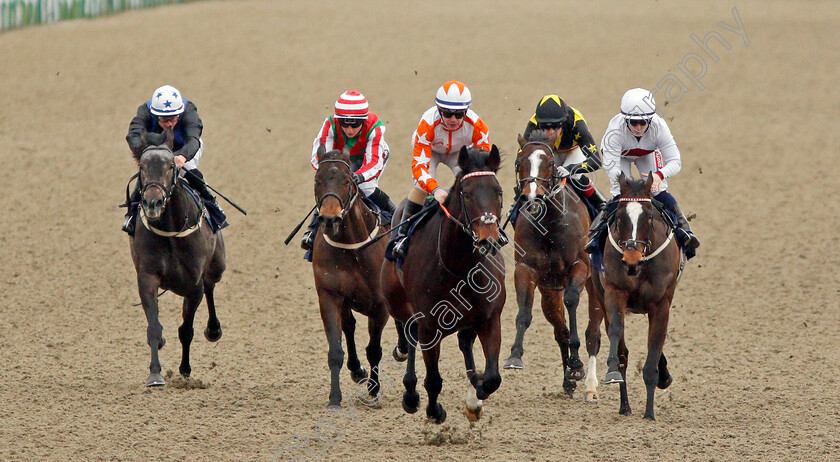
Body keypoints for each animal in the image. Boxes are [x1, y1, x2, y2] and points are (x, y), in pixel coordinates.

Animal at [129, 128, 226, 388]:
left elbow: (186, 330)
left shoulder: (193, 285)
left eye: (171, 165)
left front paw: (185, 369)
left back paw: (213, 330)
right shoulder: (147, 278)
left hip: (217, 265)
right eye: (142, 166)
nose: (152, 203)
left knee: (211, 285)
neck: (171, 229)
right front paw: (155, 374)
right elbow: (153, 327)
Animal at [312, 146, 410, 410]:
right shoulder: (330, 297)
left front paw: (373, 391)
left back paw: (402, 350)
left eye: (347, 181)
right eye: (317, 180)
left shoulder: (379, 305)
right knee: (350, 327)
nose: (329, 219)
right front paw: (335, 398)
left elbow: (374, 349)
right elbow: (336, 350)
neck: (351, 249)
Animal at [380, 144, 506, 422]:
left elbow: (492, 378)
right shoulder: (429, 327)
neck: (460, 267)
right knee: (408, 335)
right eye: (467, 194)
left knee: (464, 343)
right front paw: (434, 410)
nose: (488, 240)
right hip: (397, 301)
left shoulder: (490, 318)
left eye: (499, 191)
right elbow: (433, 380)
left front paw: (476, 394)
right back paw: (410, 393)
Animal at [502, 130, 608, 400]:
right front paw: (514, 356)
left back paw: (590, 385)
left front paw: (577, 364)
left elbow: (572, 303)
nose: (532, 198)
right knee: (559, 330)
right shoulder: (525, 270)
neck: (549, 223)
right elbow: (524, 312)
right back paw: (568, 379)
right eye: (519, 163)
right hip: (550, 292)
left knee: (593, 333)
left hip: (595, 287)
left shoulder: (579, 267)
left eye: (550, 164)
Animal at [592, 171, 684, 420]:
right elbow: (617, 334)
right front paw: (612, 371)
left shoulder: (661, 303)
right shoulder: (614, 292)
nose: (631, 260)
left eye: (649, 217)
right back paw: (624, 406)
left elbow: (655, 347)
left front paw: (650, 412)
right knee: (622, 348)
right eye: (620, 217)